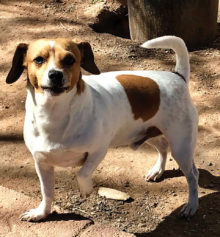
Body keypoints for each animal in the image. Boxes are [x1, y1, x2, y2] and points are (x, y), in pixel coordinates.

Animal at [6, 36, 199, 221]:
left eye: (69, 59)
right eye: (38, 59)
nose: (55, 75)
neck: (54, 114)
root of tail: (177, 76)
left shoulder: (98, 151)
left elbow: (82, 174)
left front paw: (86, 189)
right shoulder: (41, 163)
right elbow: (47, 192)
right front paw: (41, 213)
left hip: (181, 146)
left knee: (192, 175)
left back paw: (192, 205)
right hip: (151, 134)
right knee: (164, 149)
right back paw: (157, 170)